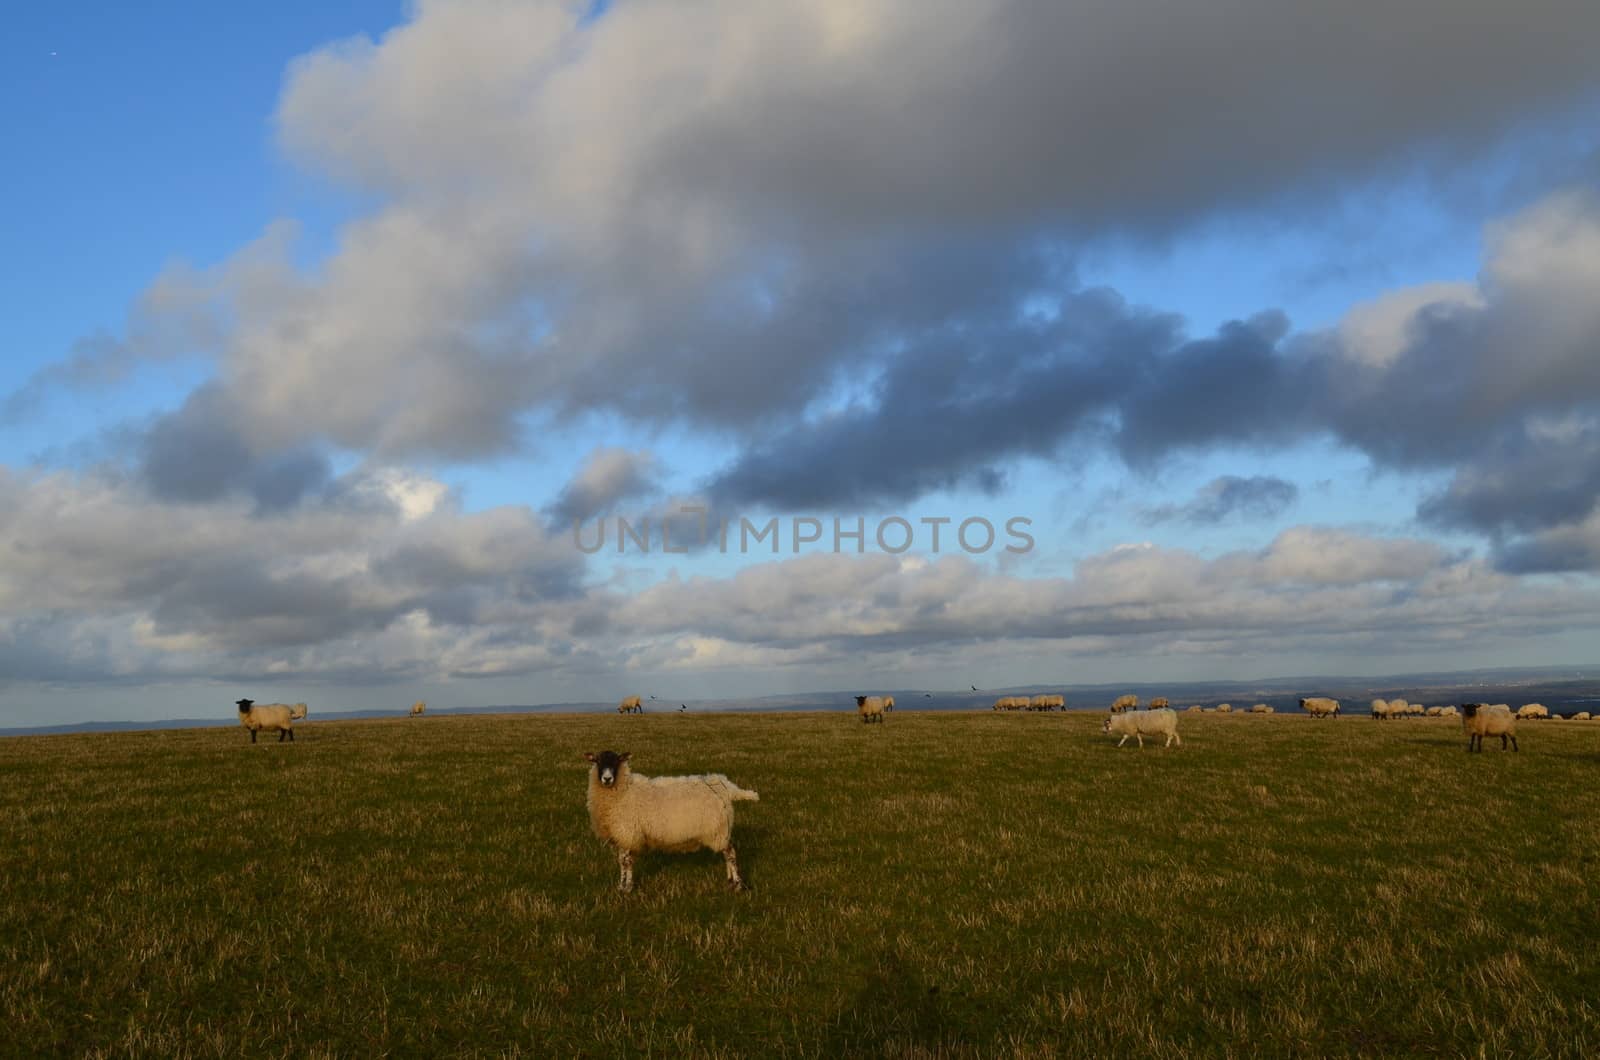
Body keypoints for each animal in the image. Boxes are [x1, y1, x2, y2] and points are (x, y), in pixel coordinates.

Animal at [585, 752, 758, 890]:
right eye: (597, 761)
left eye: (616, 761)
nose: (607, 779)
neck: (623, 791)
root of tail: (725, 786)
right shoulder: (623, 837)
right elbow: (621, 861)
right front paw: (621, 886)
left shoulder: (628, 833)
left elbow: (626, 862)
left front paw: (627, 888)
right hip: (721, 831)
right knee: (726, 853)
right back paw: (730, 880)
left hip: (718, 829)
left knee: (731, 853)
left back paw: (738, 884)